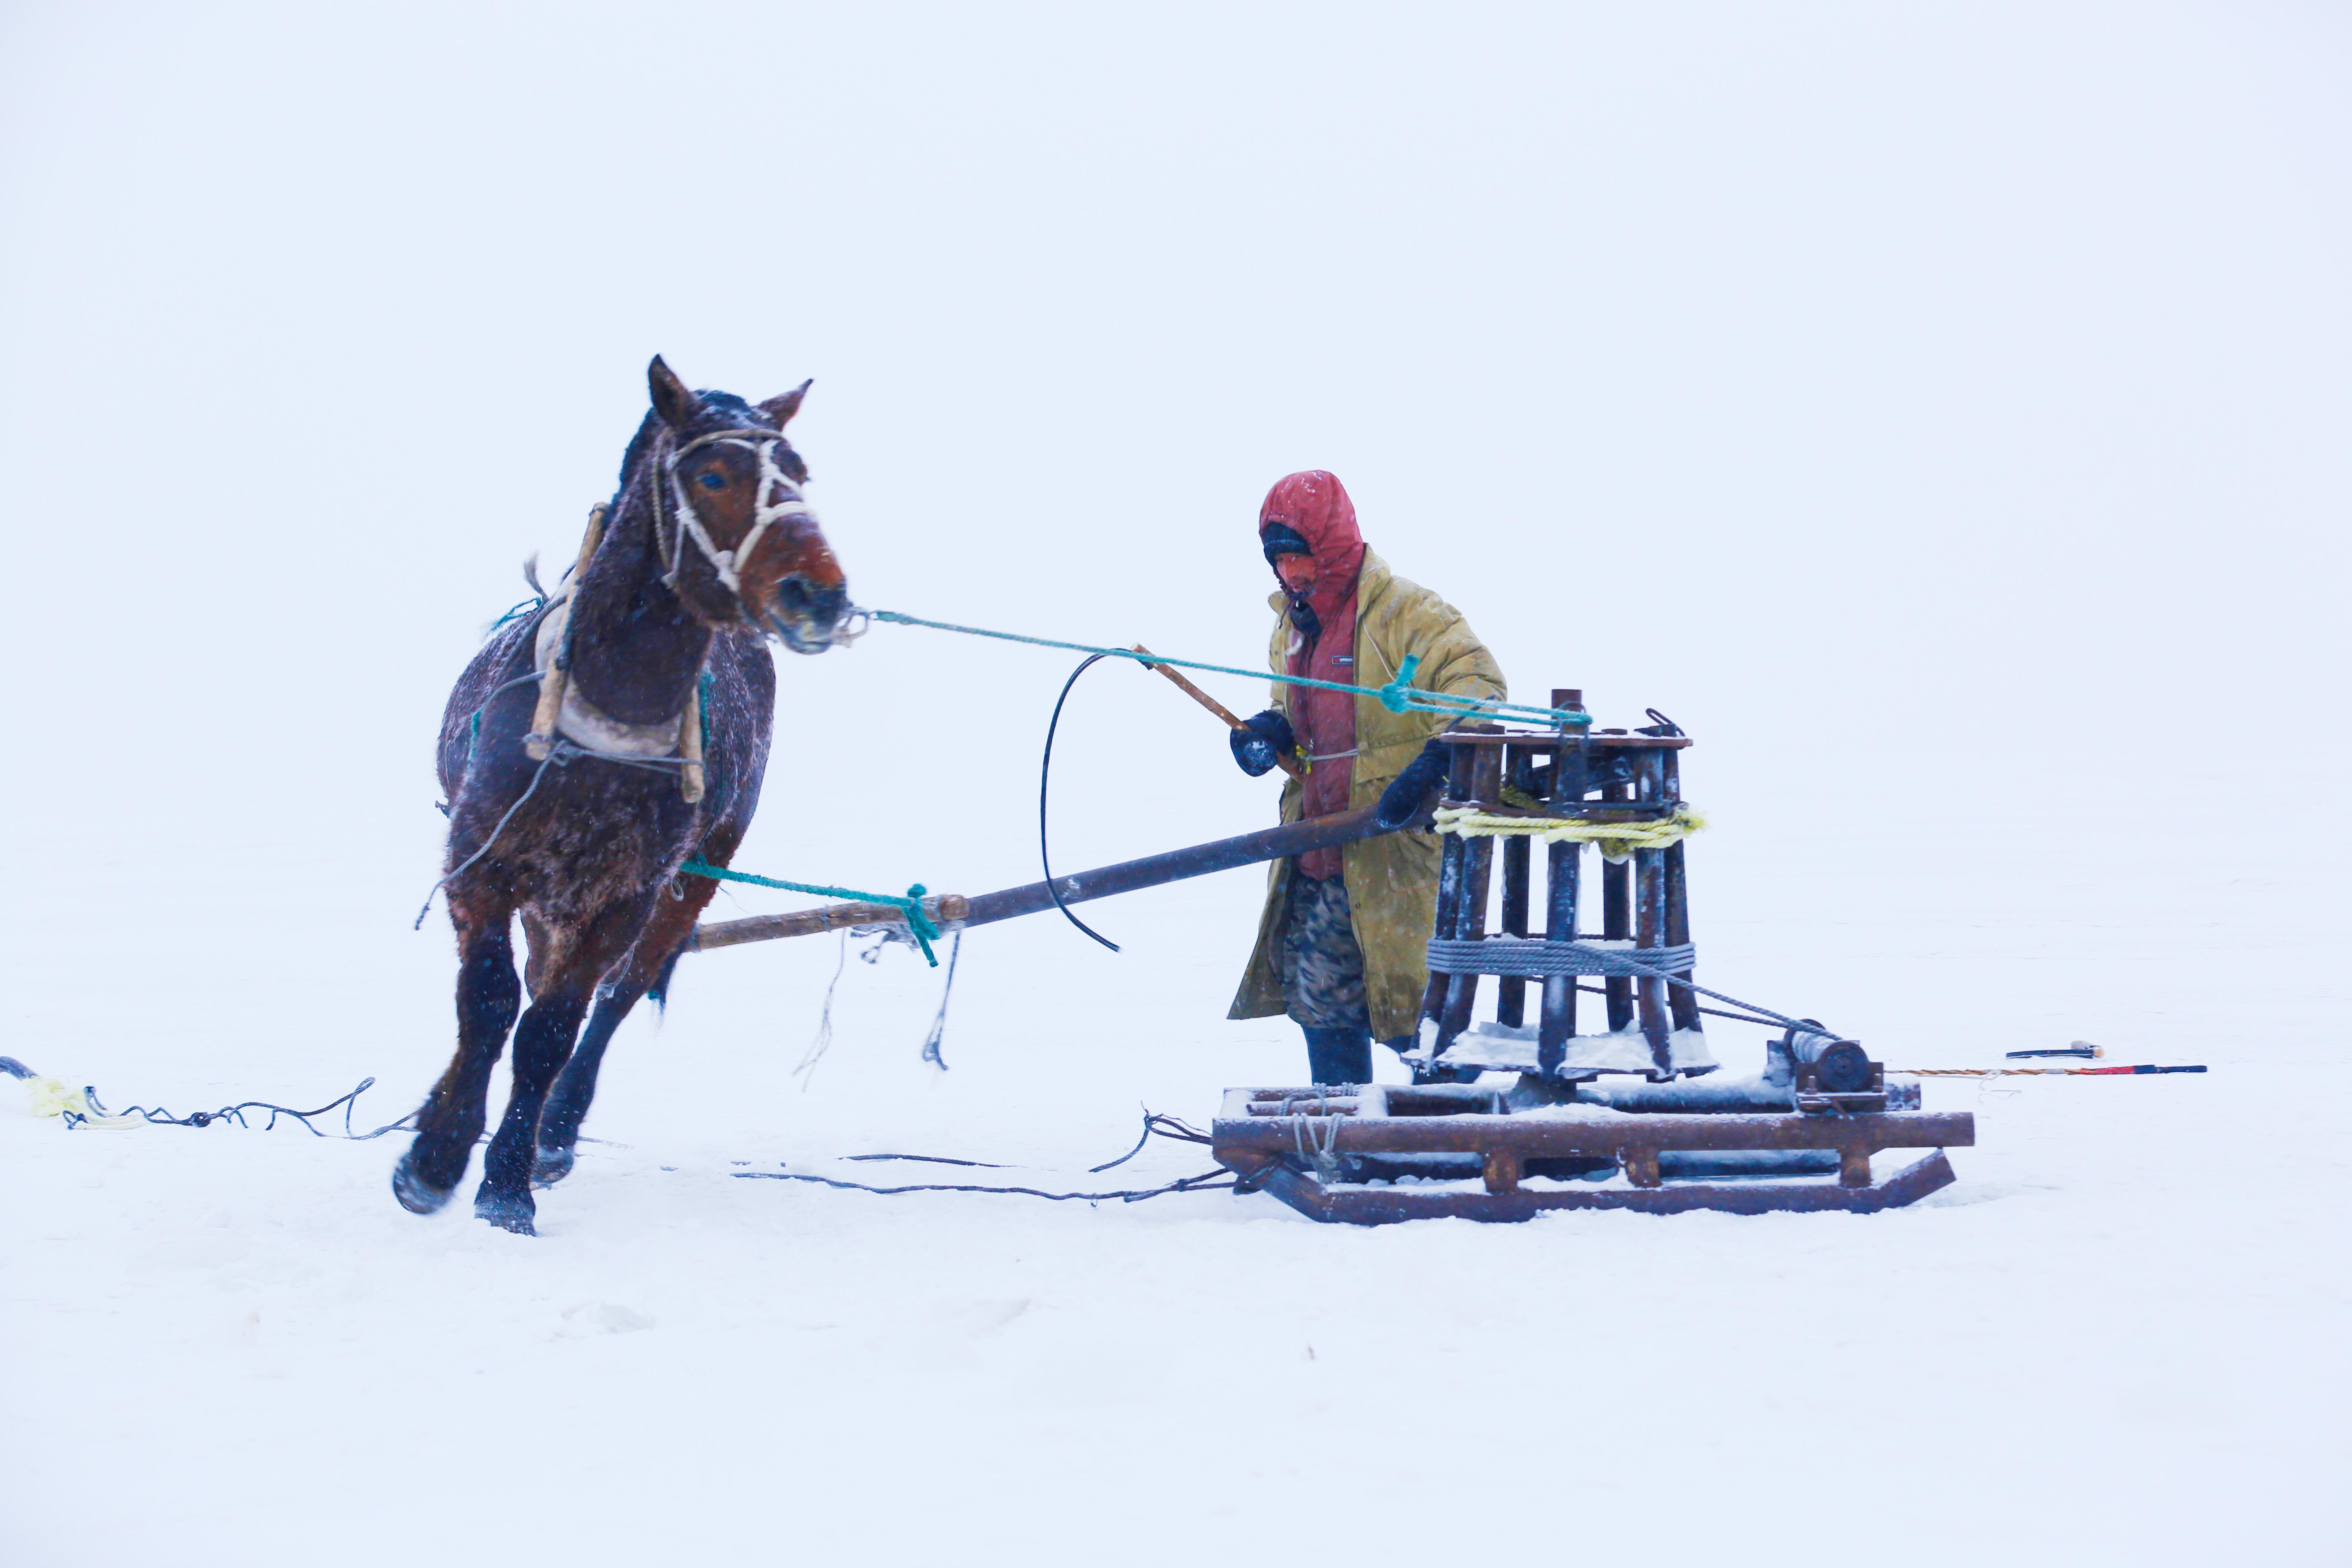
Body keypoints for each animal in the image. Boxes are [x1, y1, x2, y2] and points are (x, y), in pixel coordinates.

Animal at [397, 359, 856, 1241]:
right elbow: (488, 1002)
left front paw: (507, 1180)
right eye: (713, 475)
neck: (605, 719)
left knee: (615, 993)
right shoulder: (481, 861)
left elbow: (552, 1027)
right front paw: (435, 1157)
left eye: (799, 473)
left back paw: (554, 1128)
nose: (818, 596)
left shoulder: (628, 891)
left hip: (684, 883)